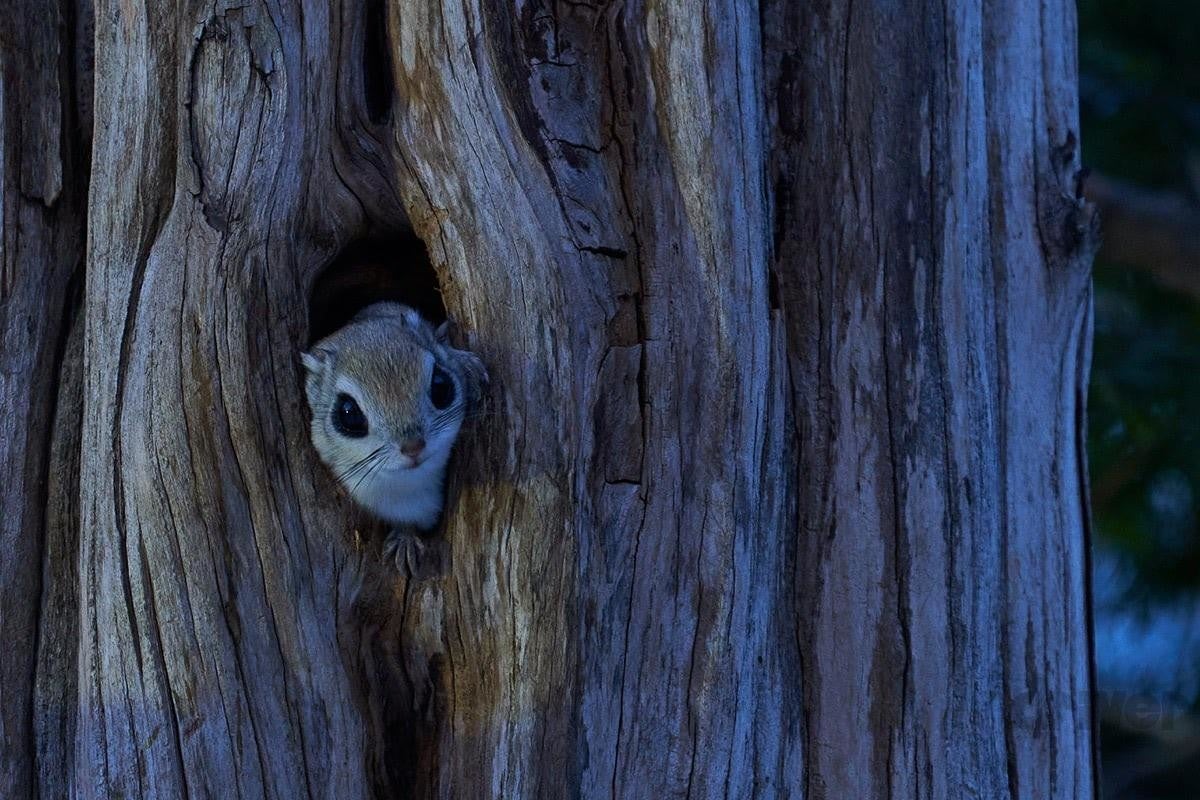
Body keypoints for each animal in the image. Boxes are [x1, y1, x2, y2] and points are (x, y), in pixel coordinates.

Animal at [300, 298, 487, 556]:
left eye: (440, 385)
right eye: (349, 413)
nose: (413, 446)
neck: (414, 484)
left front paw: (468, 365)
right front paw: (404, 540)